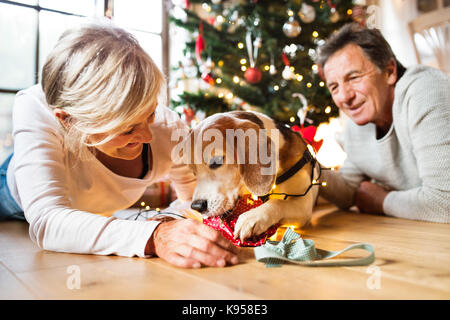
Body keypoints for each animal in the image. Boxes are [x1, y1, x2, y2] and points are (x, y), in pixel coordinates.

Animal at [180, 111, 320, 241]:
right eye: (193, 171)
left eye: (217, 161)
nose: (196, 207)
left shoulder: (304, 204)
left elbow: (278, 202)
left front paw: (252, 217)